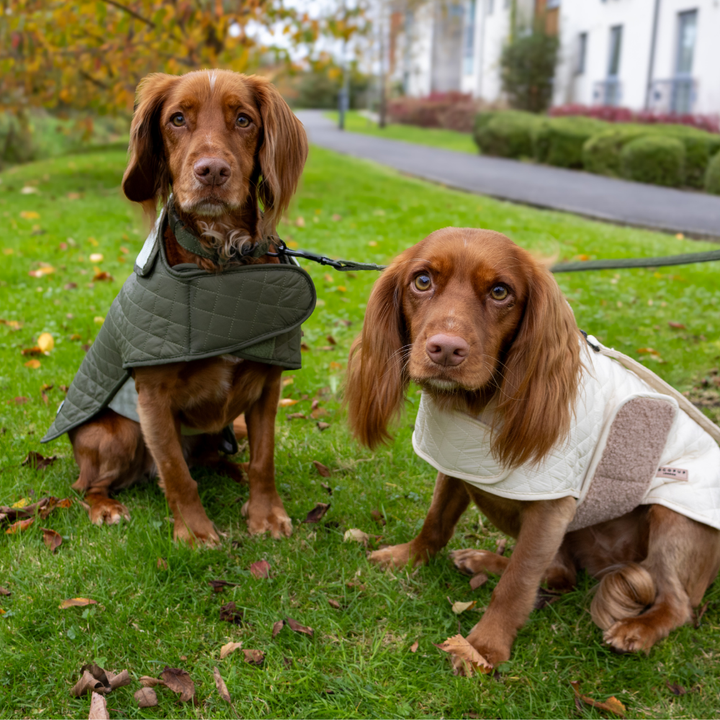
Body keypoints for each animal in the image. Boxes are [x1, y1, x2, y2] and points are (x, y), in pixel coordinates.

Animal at [344, 229, 720, 668]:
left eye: (500, 291)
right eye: (422, 281)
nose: (446, 350)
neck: (474, 405)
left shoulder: (550, 508)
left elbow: (518, 582)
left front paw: (483, 646)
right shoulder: (458, 466)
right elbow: (436, 522)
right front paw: (407, 556)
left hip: (674, 518)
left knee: (675, 603)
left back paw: (638, 629)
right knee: (561, 574)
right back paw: (484, 561)